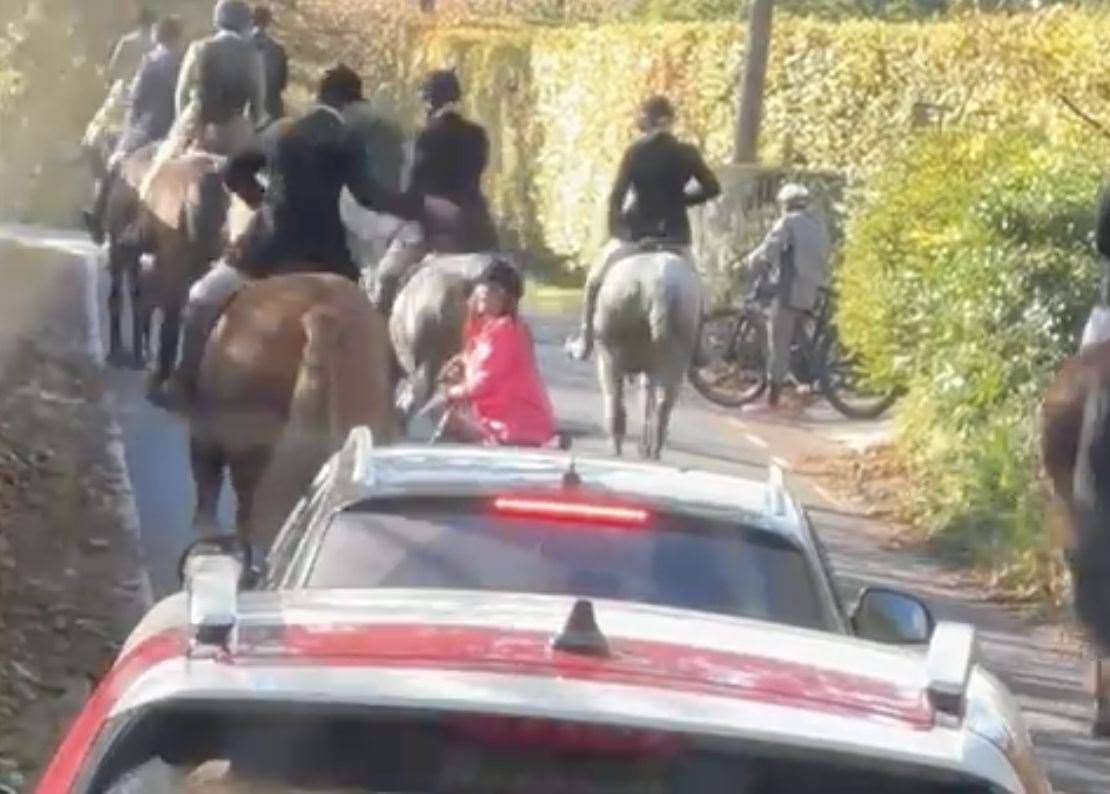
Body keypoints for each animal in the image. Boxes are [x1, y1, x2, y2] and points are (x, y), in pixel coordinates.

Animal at [594, 248, 697, 459]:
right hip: (678, 351)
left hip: (610, 348)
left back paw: (616, 444)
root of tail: (658, 287)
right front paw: (644, 447)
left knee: (614, 394)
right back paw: (654, 448)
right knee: (663, 401)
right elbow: (647, 399)